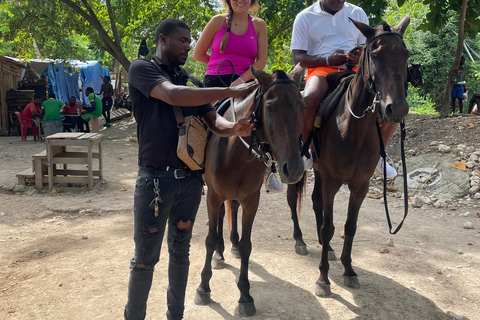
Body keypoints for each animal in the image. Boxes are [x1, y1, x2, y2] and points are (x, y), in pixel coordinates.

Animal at [194, 65, 304, 316]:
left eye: (302, 106)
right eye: (270, 107)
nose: (294, 169)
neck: (235, 152)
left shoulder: (251, 200)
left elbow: (246, 245)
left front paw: (245, 295)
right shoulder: (213, 196)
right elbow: (210, 239)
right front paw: (203, 287)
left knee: (232, 210)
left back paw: (231, 245)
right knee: (220, 218)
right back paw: (220, 253)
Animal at [286, 14, 410, 296]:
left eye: (406, 54)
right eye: (374, 55)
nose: (396, 108)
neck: (353, 129)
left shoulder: (359, 185)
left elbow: (349, 227)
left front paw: (349, 270)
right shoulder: (332, 181)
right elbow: (328, 227)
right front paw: (323, 278)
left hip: (320, 171)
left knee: (315, 201)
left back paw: (328, 249)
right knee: (292, 198)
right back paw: (299, 240)